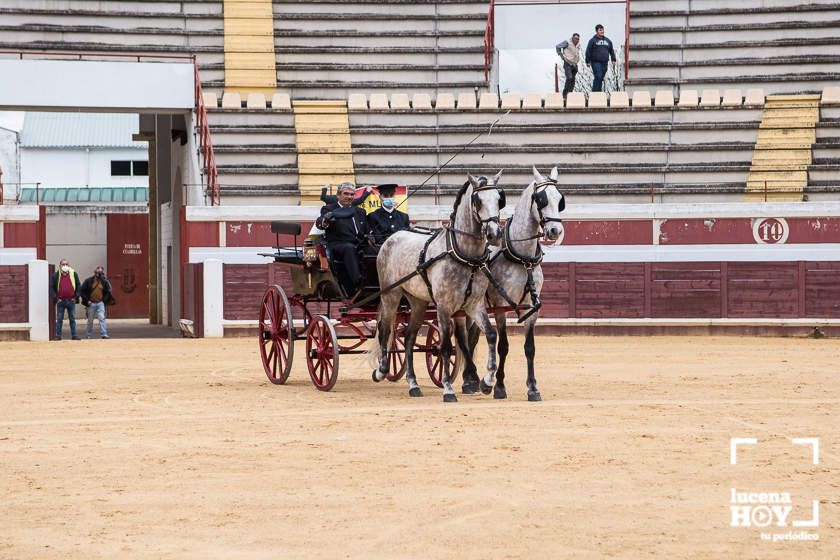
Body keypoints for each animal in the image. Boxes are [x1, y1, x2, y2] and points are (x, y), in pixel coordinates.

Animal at [372, 172, 506, 402]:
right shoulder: (444, 306)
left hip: (417, 302)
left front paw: (487, 382)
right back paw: (381, 371)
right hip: (391, 295)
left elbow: (490, 335)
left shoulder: (474, 305)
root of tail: (392, 237)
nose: (494, 234)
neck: (464, 255)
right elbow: (444, 346)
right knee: (385, 330)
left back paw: (413, 385)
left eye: (499, 199)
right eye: (478, 201)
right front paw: (448, 389)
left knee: (409, 337)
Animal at [456, 167, 568, 402]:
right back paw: (471, 379)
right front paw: (498, 386)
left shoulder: (531, 309)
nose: (555, 231)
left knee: (472, 339)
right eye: (541, 199)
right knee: (462, 339)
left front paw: (533, 388)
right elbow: (503, 345)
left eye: (560, 199)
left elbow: (529, 347)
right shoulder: (501, 306)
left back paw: (470, 380)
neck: (522, 258)